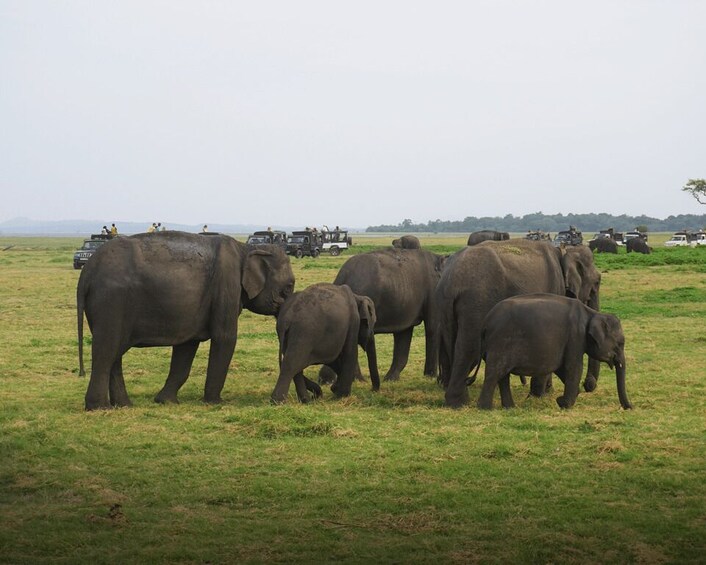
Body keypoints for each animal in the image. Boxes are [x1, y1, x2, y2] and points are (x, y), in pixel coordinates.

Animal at [77, 229, 294, 410]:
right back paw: (99, 408)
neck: (245, 248)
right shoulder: (226, 286)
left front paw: (166, 401)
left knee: (114, 352)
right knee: (106, 350)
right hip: (111, 301)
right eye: (289, 287)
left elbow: (187, 345)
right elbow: (225, 338)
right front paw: (216, 403)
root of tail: (87, 271)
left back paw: (124, 405)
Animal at [322, 249, 442, 386]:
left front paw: (391, 379)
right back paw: (359, 380)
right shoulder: (433, 291)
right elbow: (432, 327)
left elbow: (404, 333)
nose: (323, 380)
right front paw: (430, 376)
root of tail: (342, 278)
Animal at [434, 237, 600, 406]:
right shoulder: (555, 288)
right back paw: (459, 402)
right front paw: (537, 396)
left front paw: (547, 391)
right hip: (476, 302)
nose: (588, 385)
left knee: (451, 346)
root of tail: (451, 281)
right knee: (470, 349)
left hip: (444, 306)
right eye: (597, 282)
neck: (564, 249)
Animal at [470, 294, 628, 408]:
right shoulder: (575, 338)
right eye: (620, 343)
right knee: (494, 374)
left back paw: (509, 407)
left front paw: (565, 399)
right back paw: (485, 408)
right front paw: (563, 403)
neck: (592, 313)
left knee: (503, 376)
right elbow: (573, 367)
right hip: (500, 343)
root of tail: (485, 323)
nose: (628, 408)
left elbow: (561, 368)